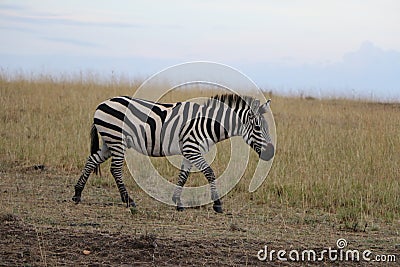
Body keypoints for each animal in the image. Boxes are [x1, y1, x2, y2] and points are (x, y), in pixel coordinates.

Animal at [72, 94, 276, 214]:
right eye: (258, 128)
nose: (271, 153)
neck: (206, 124)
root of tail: (101, 103)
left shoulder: (190, 151)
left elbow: (183, 176)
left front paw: (177, 202)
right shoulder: (193, 149)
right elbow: (210, 173)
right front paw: (217, 204)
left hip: (109, 142)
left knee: (92, 160)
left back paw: (77, 194)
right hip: (116, 139)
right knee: (115, 169)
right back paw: (129, 201)